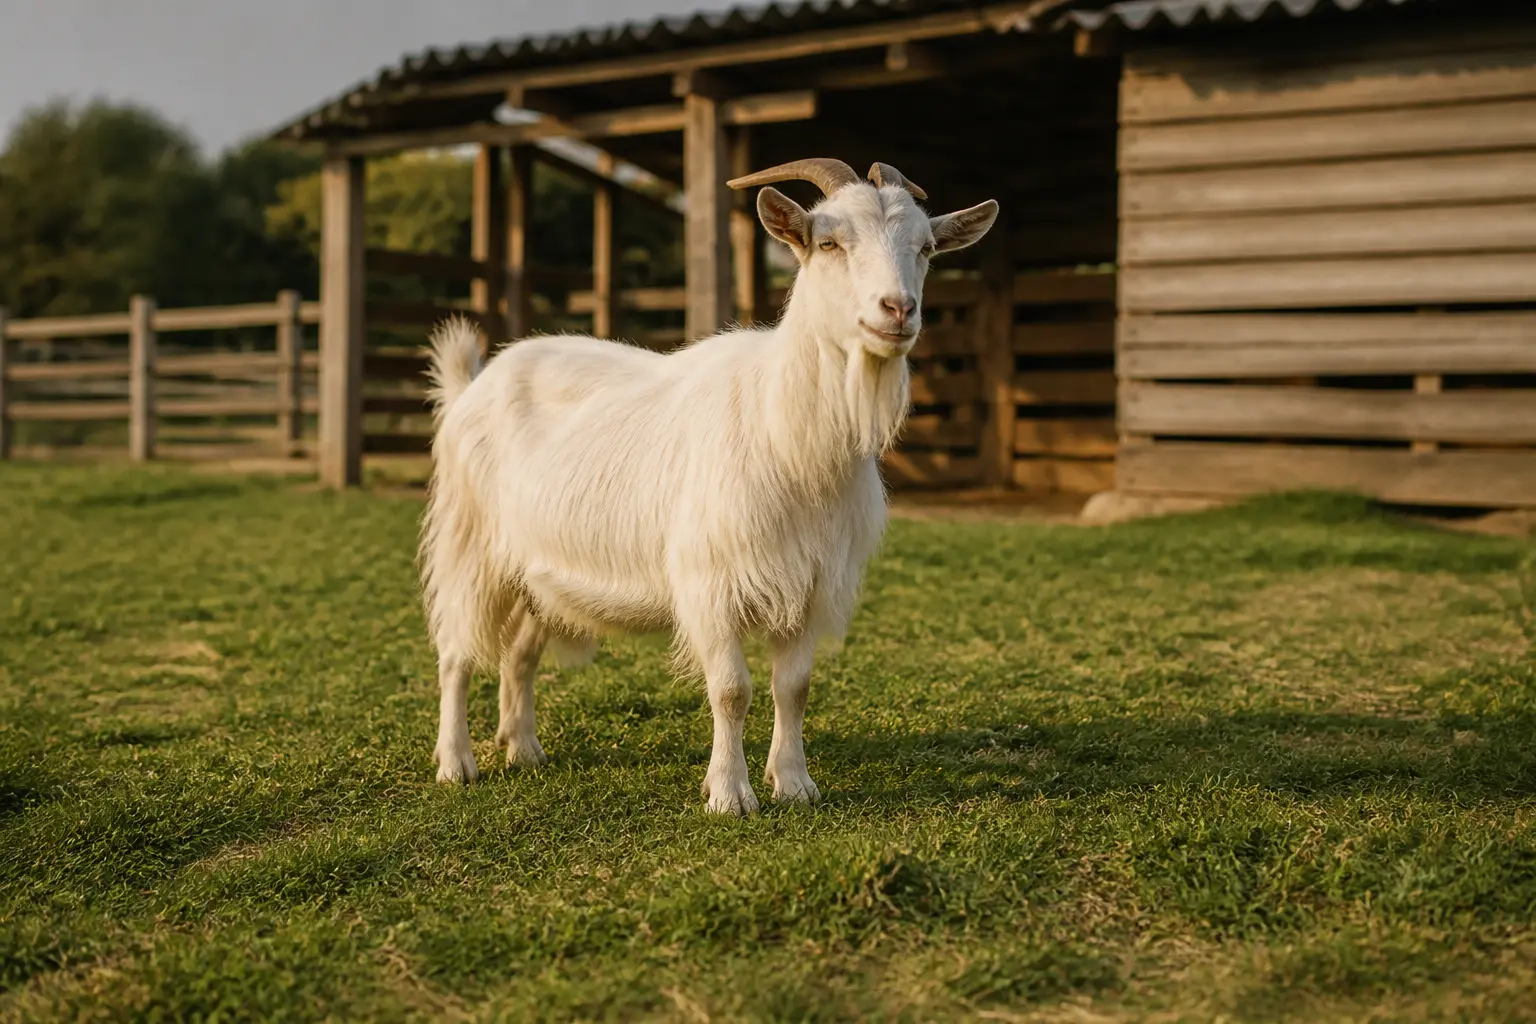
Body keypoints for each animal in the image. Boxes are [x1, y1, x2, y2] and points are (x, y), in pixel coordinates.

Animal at [420, 157, 998, 813]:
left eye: (926, 247)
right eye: (828, 242)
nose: (898, 310)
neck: (787, 436)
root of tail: (472, 385)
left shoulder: (811, 582)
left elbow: (793, 686)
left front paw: (793, 784)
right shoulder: (710, 581)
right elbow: (731, 689)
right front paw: (729, 793)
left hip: (535, 572)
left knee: (519, 654)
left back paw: (522, 747)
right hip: (470, 543)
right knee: (455, 653)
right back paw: (456, 763)